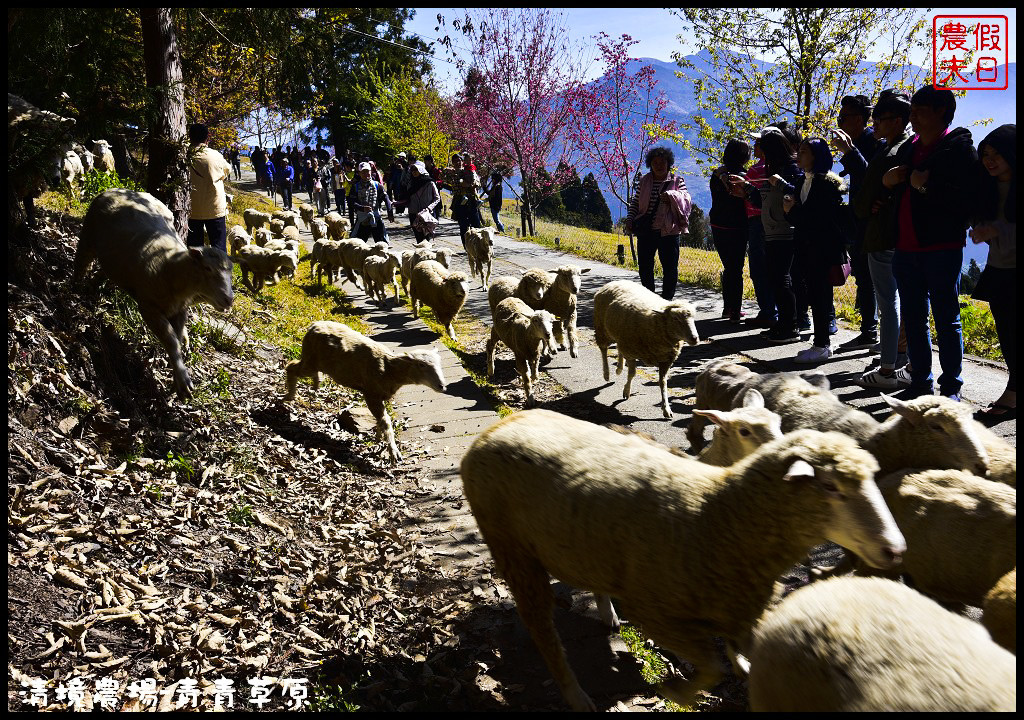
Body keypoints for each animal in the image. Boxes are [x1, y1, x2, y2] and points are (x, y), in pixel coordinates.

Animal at [72, 188, 234, 403]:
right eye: (207, 268)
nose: (229, 300)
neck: (170, 267)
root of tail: (117, 189)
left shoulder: (179, 310)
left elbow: (178, 340)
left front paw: (176, 377)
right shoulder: (150, 309)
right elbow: (171, 341)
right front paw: (183, 382)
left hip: (112, 260)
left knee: (102, 273)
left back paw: (92, 292)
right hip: (88, 234)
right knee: (81, 263)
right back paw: (73, 290)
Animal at [288, 319, 448, 462]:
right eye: (421, 365)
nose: (442, 386)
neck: (389, 369)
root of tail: (314, 325)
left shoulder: (381, 395)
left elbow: (381, 420)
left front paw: (378, 439)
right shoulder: (371, 394)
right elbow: (386, 421)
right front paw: (393, 452)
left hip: (313, 362)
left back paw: (315, 384)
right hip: (310, 360)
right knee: (290, 366)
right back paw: (288, 397)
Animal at [462, 413, 905, 712]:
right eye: (830, 486)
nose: (895, 549)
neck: (716, 513)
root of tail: (498, 427)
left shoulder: (736, 604)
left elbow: (734, 653)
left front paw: (742, 668)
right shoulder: (659, 614)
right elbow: (711, 669)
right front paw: (676, 691)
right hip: (511, 548)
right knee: (541, 628)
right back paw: (575, 693)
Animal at [593, 280, 704, 419]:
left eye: (693, 318)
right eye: (675, 318)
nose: (695, 338)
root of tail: (615, 282)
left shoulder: (666, 360)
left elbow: (663, 383)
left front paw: (666, 409)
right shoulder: (630, 352)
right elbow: (632, 373)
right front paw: (626, 391)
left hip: (619, 336)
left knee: (618, 349)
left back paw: (619, 368)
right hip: (602, 328)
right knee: (603, 349)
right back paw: (606, 374)